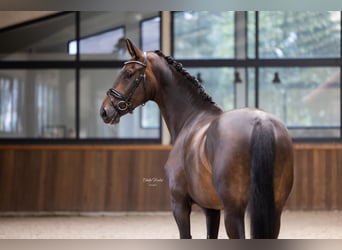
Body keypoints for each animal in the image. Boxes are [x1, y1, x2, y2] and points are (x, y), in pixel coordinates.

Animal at [99, 38, 294, 238]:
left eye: (129, 74)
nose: (105, 111)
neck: (191, 117)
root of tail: (260, 120)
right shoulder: (211, 209)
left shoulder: (180, 204)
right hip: (273, 211)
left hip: (233, 212)